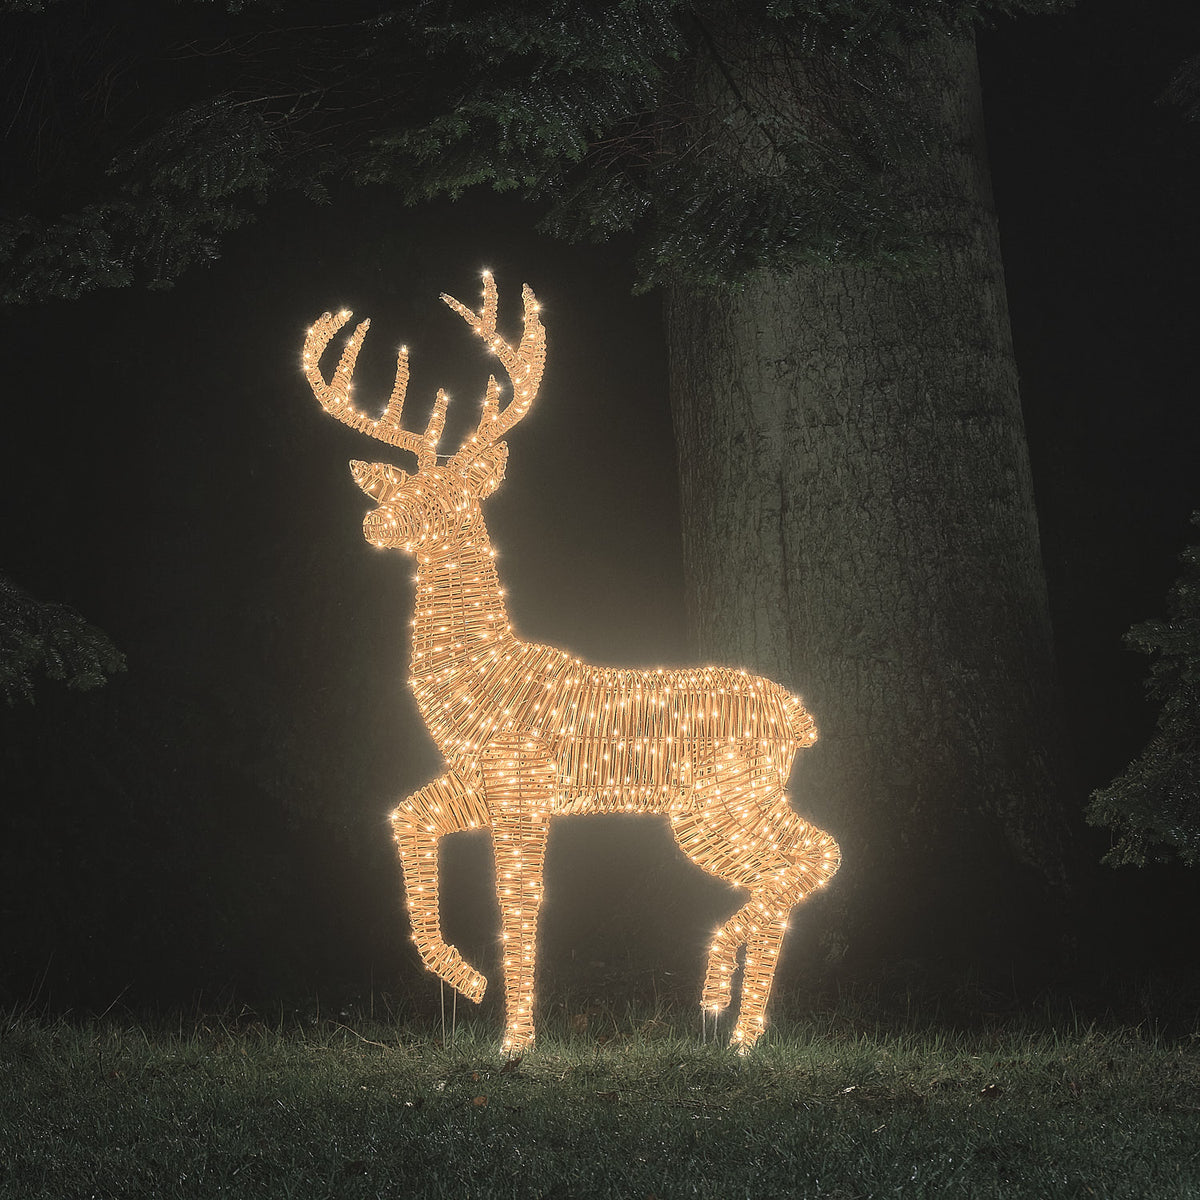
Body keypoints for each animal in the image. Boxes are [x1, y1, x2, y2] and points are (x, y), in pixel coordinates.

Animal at [301, 272, 840, 1053]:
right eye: (402, 489)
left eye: (449, 497)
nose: (375, 523)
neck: (478, 675)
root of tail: (800, 719)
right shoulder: (478, 781)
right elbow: (405, 820)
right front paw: (467, 982)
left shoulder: (522, 780)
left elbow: (519, 905)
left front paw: (516, 1041)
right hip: (725, 802)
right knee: (801, 859)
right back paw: (731, 1018)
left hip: (719, 797)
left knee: (813, 854)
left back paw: (728, 1007)